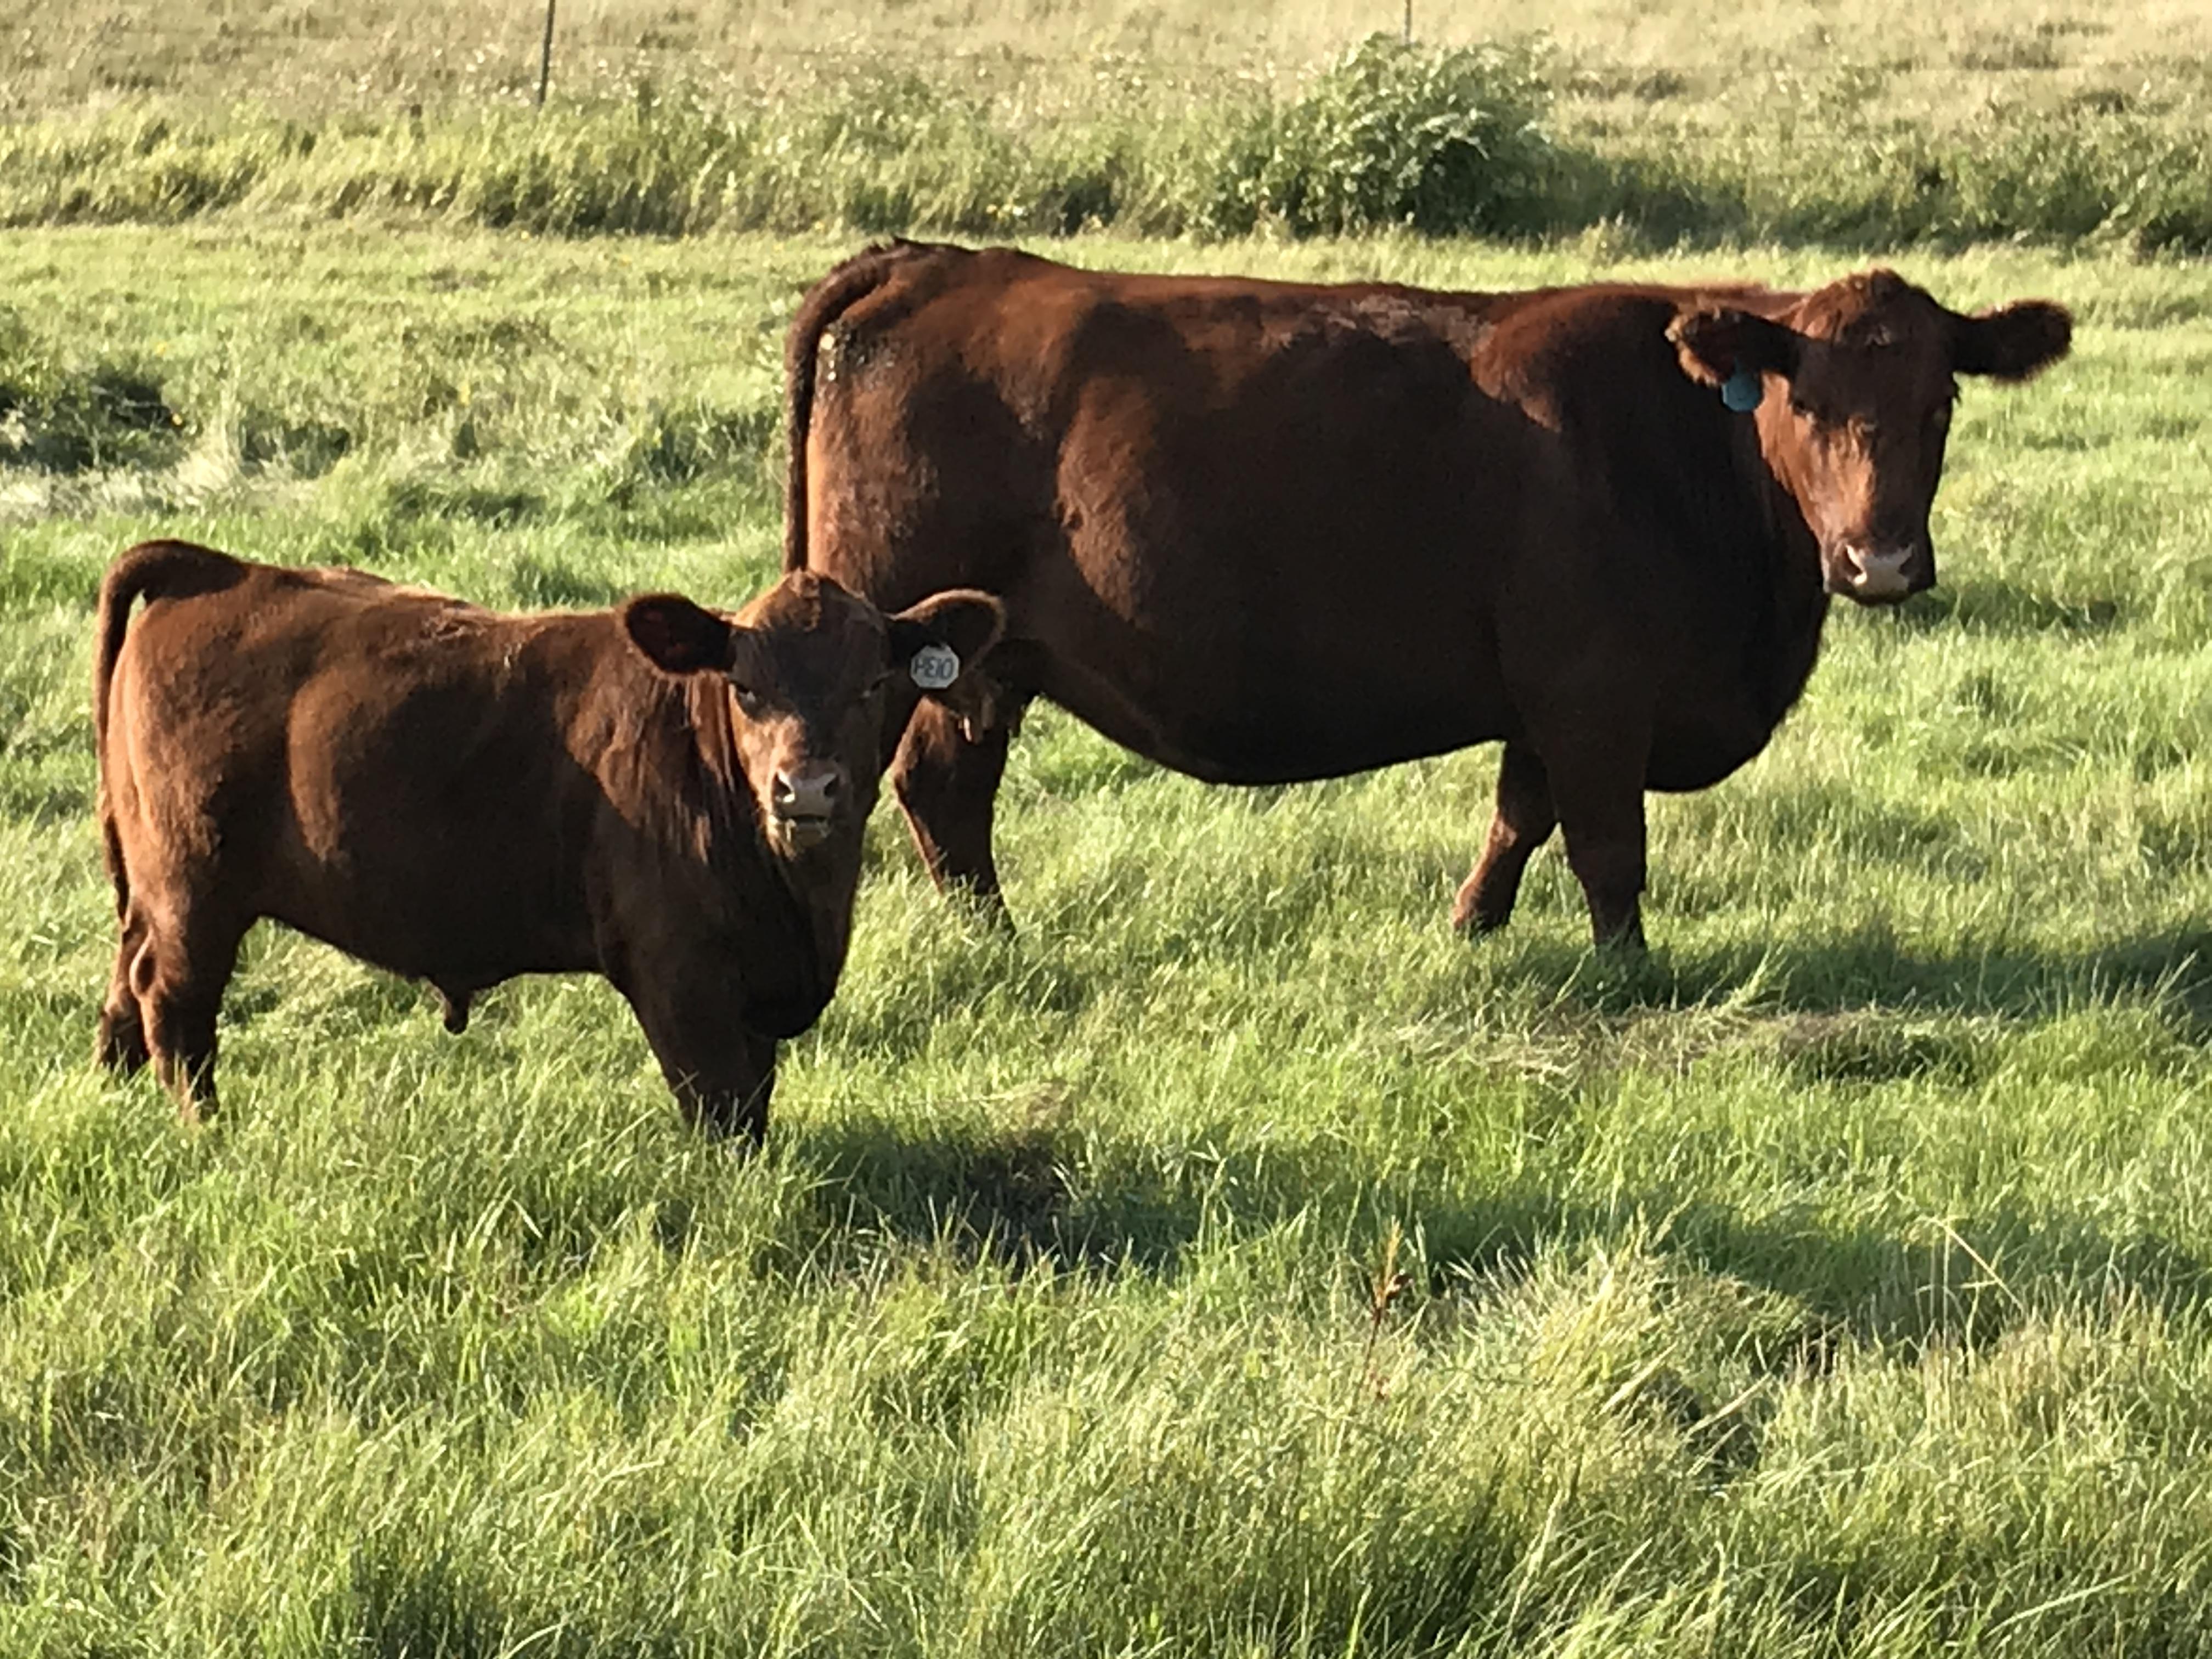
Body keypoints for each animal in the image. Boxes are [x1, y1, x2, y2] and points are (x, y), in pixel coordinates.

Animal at [93, 546, 1004, 1141]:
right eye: (745, 688)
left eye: (873, 684)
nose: (805, 789)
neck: (800, 901)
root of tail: (215, 567)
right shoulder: (680, 977)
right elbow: (722, 1110)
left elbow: (755, 1101)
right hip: (193, 891)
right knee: (175, 1007)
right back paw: (206, 1131)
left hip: (154, 886)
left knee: (127, 978)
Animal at [783, 243, 2070, 946]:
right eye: (1805, 402)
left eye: (1941, 403)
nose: (1880, 560)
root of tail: (937, 262)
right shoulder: (1594, 695)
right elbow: (1608, 845)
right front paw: (1629, 970)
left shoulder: (1547, 699)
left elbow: (1520, 816)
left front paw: (1473, 926)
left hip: (981, 665)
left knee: (948, 791)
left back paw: (995, 938)